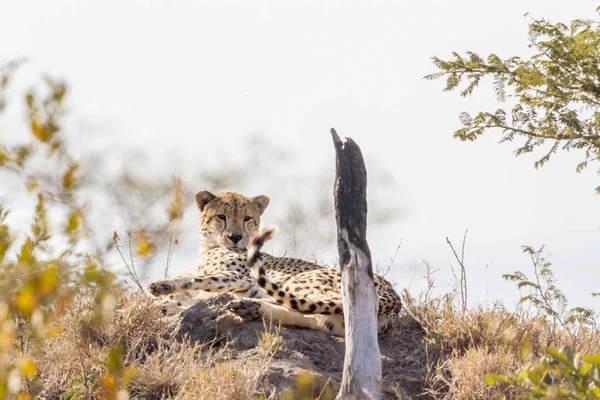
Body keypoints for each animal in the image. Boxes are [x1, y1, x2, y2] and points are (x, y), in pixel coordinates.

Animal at [148, 191, 404, 334]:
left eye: (247, 218)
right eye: (221, 216)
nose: (235, 237)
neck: (209, 247)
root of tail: (395, 297)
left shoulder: (240, 277)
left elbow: (200, 279)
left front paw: (162, 286)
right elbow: (181, 299)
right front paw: (166, 301)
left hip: (301, 282)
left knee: (306, 303)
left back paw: (249, 304)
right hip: (337, 320)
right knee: (316, 317)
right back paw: (250, 308)